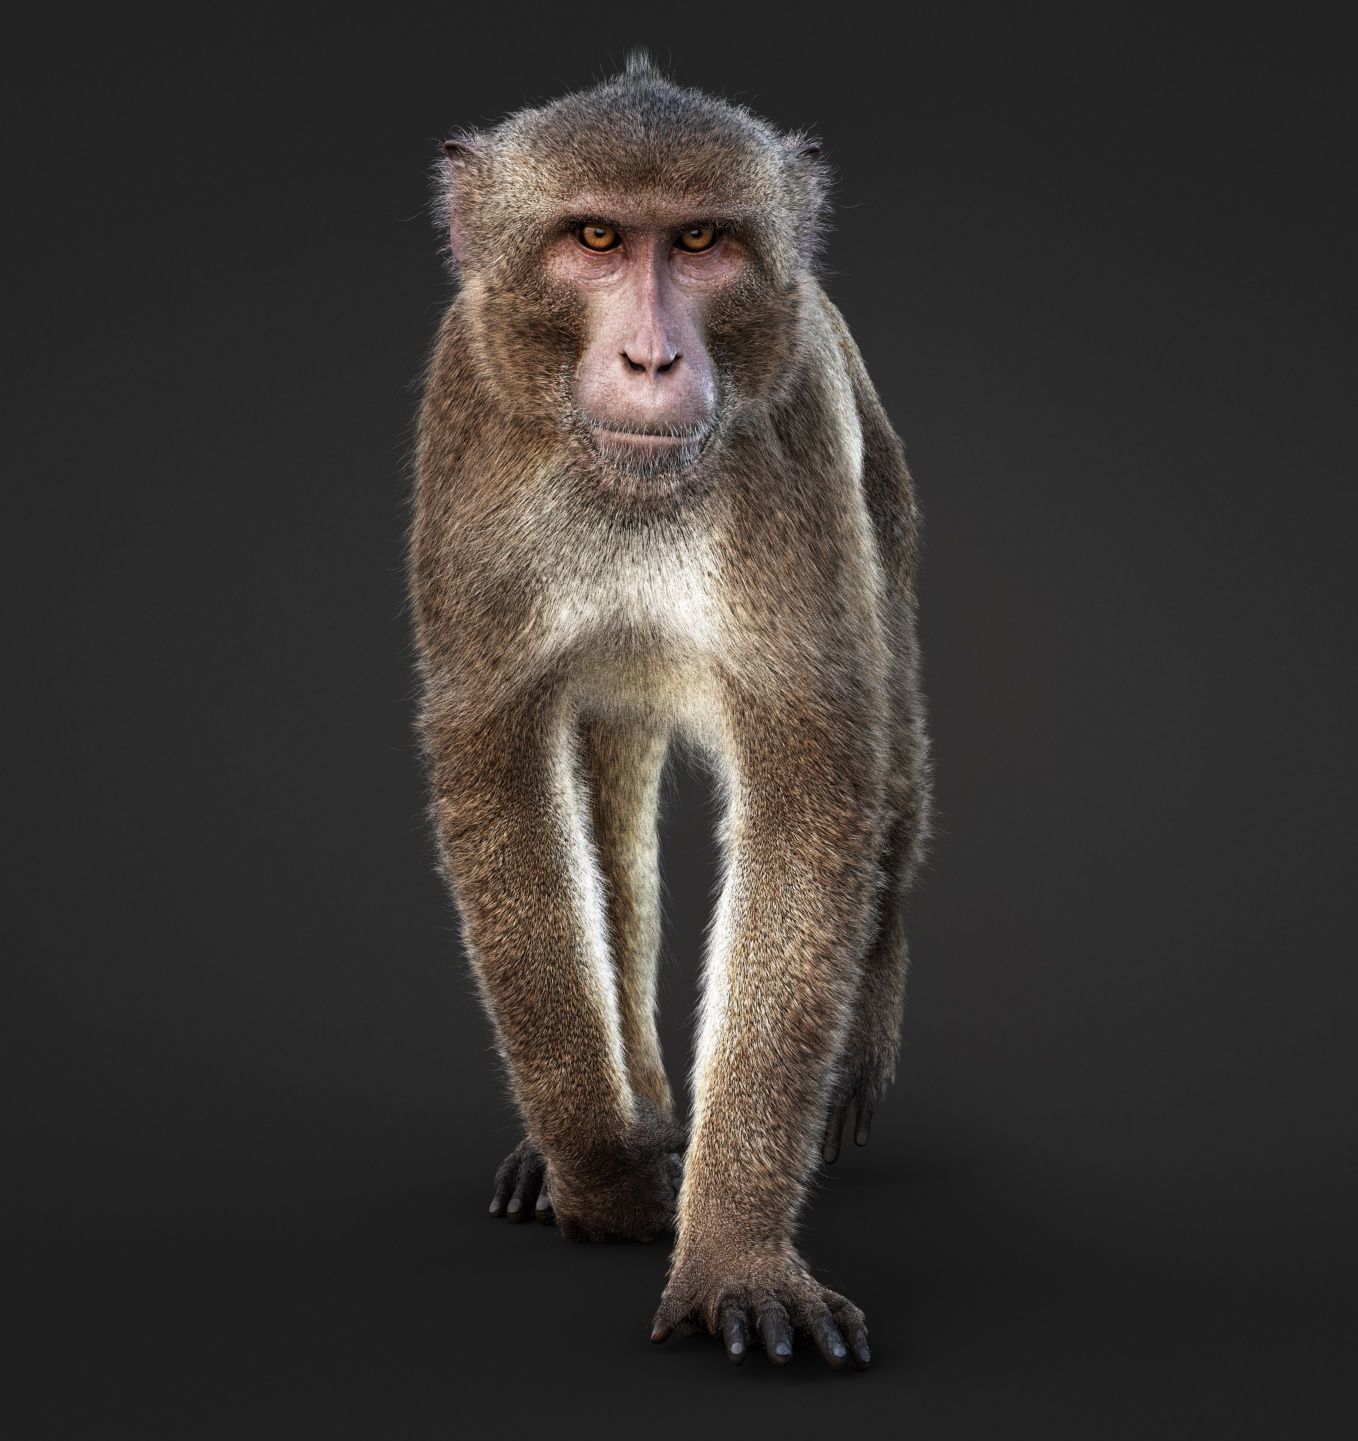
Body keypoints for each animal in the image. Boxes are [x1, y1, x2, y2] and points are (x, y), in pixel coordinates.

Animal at [408, 52, 930, 1370]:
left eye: (698, 241)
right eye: (595, 237)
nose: (650, 360)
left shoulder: (796, 450)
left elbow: (813, 798)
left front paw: (732, 1250)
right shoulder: (465, 425)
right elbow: (502, 778)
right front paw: (600, 1170)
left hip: (885, 504)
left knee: (894, 772)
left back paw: (856, 1042)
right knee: (601, 787)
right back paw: (632, 1104)